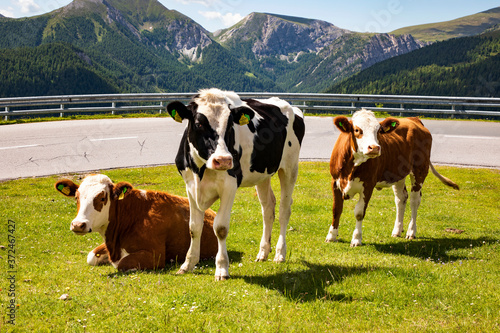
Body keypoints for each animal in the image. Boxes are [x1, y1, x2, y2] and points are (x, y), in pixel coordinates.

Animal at [55, 174, 218, 270]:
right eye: (76, 197)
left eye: (102, 198)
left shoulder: (156, 255)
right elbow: (91, 257)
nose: (78, 225)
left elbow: (122, 264)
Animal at [167, 88, 304, 280]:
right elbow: (194, 227)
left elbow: (220, 227)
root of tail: (289, 105)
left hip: (290, 168)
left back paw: (279, 253)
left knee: (284, 210)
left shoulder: (229, 186)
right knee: (268, 208)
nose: (223, 160)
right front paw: (188, 264)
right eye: (199, 124)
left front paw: (222, 268)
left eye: (230, 125)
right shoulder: (190, 186)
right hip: (262, 174)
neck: (200, 170)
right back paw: (263, 252)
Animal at [326, 109, 458, 246]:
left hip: (420, 170)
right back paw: (397, 230)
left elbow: (359, 213)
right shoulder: (335, 182)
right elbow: (336, 209)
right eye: (357, 130)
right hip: (398, 175)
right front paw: (331, 236)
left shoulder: (368, 185)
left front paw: (356, 239)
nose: (374, 148)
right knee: (401, 198)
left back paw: (411, 231)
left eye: (379, 131)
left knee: (414, 200)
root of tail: (414, 119)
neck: (353, 166)